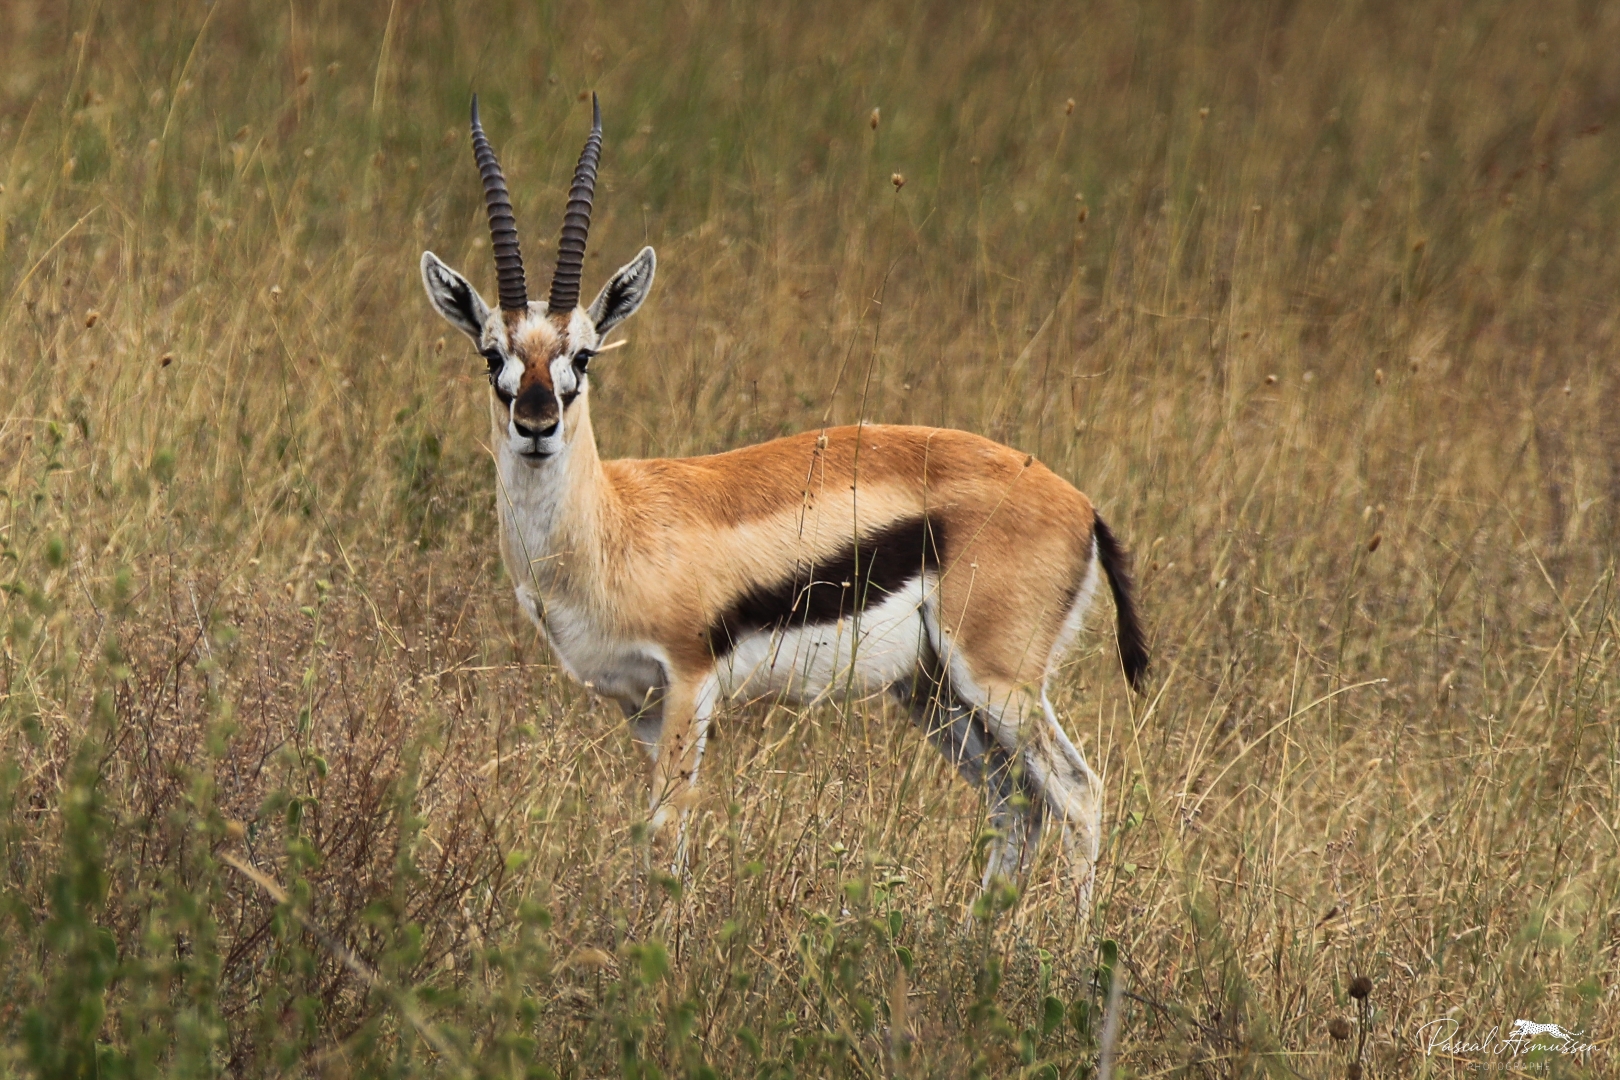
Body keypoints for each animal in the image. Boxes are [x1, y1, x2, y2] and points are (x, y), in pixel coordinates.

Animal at [420, 96, 1148, 901]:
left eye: (582, 355)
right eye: (492, 354)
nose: (537, 425)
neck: (611, 525)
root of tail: (1080, 505)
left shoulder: (689, 683)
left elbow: (666, 836)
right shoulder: (639, 704)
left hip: (995, 680)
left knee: (1078, 792)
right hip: (933, 690)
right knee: (1015, 802)